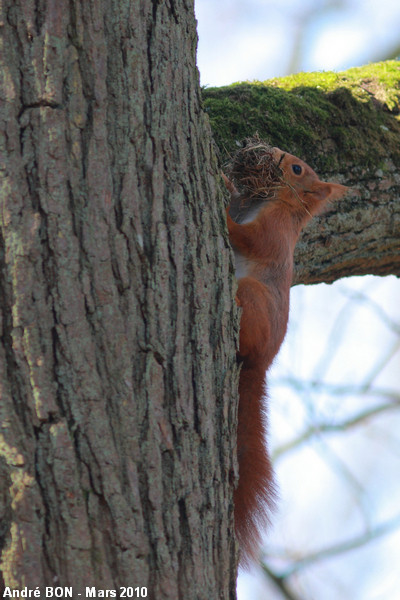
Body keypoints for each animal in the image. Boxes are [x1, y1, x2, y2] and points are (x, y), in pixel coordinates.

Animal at [225, 141, 350, 568]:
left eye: (297, 169)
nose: (274, 152)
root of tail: (260, 364)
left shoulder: (273, 231)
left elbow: (247, 239)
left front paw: (218, 189)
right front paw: (228, 182)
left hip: (252, 296)